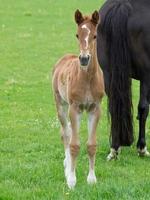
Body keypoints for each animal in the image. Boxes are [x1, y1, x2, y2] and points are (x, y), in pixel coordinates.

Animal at [52, 9, 103, 189]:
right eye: (77, 35)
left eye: (95, 35)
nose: (84, 59)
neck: (87, 80)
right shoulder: (75, 108)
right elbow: (74, 144)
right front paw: (72, 180)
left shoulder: (95, 108)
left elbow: (91, 145)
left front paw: (92, 179)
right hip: (61, 104)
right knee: (66, 134)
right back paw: (67, 168)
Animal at [96, 0, 150, 159]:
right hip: (146, 75)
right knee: (143, 108)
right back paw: (142, 147)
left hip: (109, 73)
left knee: (113, 106)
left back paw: (115, 147)